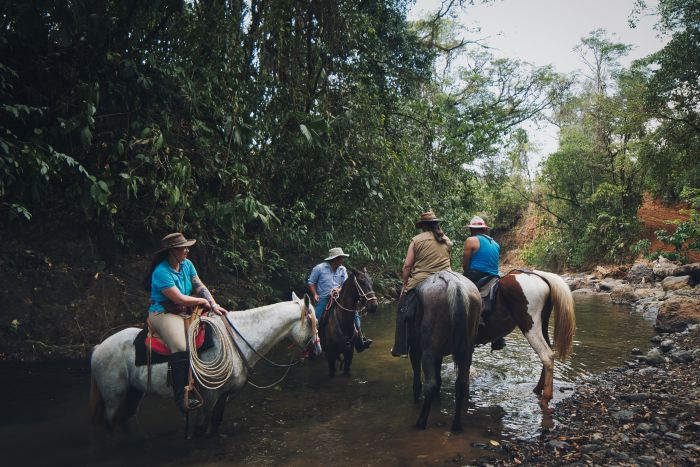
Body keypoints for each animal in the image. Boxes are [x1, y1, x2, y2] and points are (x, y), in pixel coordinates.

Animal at [89, 292, 318, 438]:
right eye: (312, 321)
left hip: (134, 392)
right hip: (113, 397)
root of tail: (98, 347)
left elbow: (215, 425)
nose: (318, 350)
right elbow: (200, 430)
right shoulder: (208, 397)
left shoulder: (223, 396)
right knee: (111, 422)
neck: (238, 339)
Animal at [408, 272, 484, 434]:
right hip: (467, 349)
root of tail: (454, 284)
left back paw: (420, 422)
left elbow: (418, 377)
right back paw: (456, 425)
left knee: (430, 384)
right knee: (461, 383)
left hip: (428, 351)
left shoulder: (415, 347)